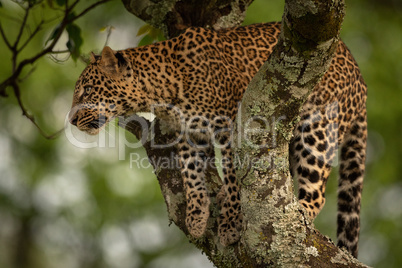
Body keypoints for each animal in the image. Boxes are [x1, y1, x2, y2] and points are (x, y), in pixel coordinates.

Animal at [69, 22, 368, 256]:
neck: (161, 92)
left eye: (87, 90)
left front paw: (231, 223)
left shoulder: (230, 128)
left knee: (317, 192)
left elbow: (234, 175)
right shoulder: (189, 133)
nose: (71, 120)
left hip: (318, 128)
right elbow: (191, 175)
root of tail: (360, 77)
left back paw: (300, 213)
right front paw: (197, 216)